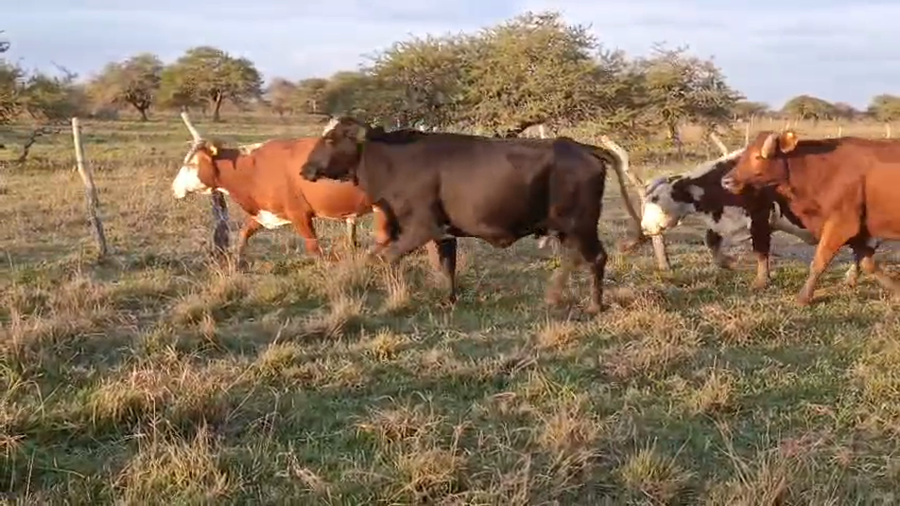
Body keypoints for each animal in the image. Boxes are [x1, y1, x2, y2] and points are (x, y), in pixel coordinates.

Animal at [170, 114, 391, 263]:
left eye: (191, 164)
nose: (173, 188)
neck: (253, 168)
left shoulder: (300, 214)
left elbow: (314, 248)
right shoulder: (266, 212)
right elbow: (244, 234)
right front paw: (237, 263)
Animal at [297, 116, 646, 314]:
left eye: (331, 139)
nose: (305, 169)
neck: (393, 161)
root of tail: (579, 147)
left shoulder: (421, 228)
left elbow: (387, 258)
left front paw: (395, 298)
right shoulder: (444, 233)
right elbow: (446, 267)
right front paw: (448, 300)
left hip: (580, 224)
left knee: (595, 258)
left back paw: (594, 305)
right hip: (566, 228)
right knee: (574, 259)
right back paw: (554, 297)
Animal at [639, 146, 864, 288]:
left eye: (656, 198)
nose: (644, 227)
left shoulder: (760, 218)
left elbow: (761, 251)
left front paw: (761, 281)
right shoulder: (722, 219)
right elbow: (711, 240)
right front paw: (728, 262)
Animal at [721, 130, 897, 305]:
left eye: (758, 156)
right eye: (744, 156)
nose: (726, 181)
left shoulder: (841, 225)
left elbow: (819, 262)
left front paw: (803, 297)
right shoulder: (857, 231)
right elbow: (867, 263)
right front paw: (896, 291)